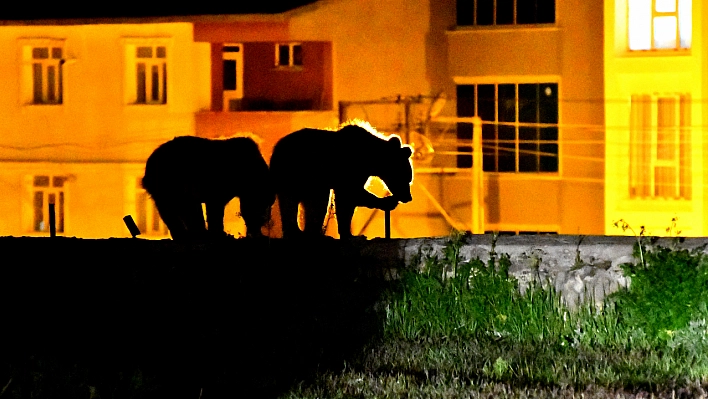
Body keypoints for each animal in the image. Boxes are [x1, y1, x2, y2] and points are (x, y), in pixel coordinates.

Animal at [142, 135, 276, 241]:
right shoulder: (219, 183)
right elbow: (215, 208)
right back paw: (197, 234)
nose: (263, 224)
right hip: (175, 179)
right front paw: (219, 233)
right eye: (263, 207)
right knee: (187, 206)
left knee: (169, 210)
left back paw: (184, 234)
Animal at [272, 122, 414, 239]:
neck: (371, 159)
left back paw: (298, 232)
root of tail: (276, 150)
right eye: (407, 178)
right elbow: (349, 193)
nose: (408, 197)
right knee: (315, 201)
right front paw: (387, 201)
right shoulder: (349, 168)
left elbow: (346, 203)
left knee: (291, 202)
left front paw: (349, 233)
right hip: (303, 173)